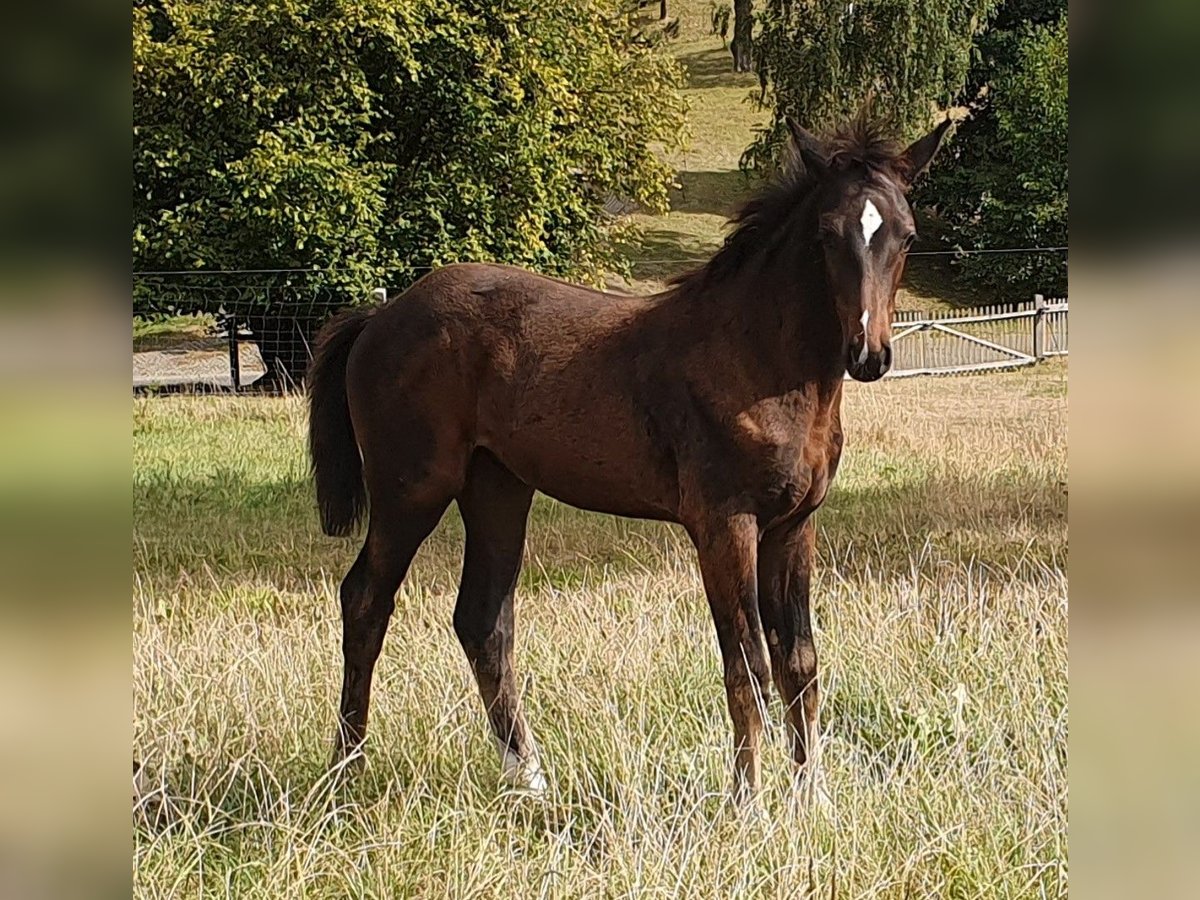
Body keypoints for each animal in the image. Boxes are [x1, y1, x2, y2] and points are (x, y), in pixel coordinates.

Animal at [312, 114, 955, 801]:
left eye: (907, 235)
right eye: (827, 234)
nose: (870, 354)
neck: (756, 361)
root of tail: (382, 314)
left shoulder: (793, 527)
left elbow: (799, 662)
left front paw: (811, 798)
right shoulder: (724, 526)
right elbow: (747, 665)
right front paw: (748, 803)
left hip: (498, 489)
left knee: (482, 619)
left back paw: (531, 779)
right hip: (411, 488)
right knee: (365, 600)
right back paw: (346, 772)